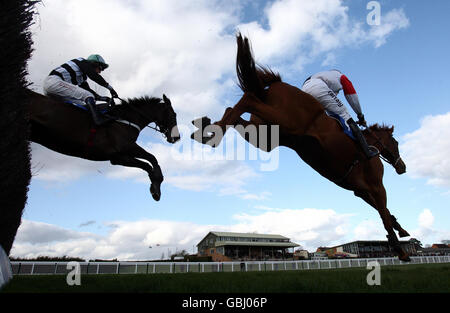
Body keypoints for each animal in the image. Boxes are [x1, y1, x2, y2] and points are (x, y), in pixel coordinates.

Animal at [26, 88, 180, 200]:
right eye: (173, 114)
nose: (177, 137)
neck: (124, 119)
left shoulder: (120, 156)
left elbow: (152, 159)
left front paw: (156, 186)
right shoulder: (120, 153)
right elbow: (149, 163)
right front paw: (156, 187)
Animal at [192, 33, 412, 260]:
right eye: (395, 143)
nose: (402, 167)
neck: (369, 144)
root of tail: (277, 85)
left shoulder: (360, 190)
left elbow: (384, 212)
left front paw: (401, 230)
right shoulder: (376, 186)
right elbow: (384, 213)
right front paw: (400, 250)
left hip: (267, 136)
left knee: (234, 108)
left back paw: (209, 130)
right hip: (287, 122)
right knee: (249, 99)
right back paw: (211, 132)